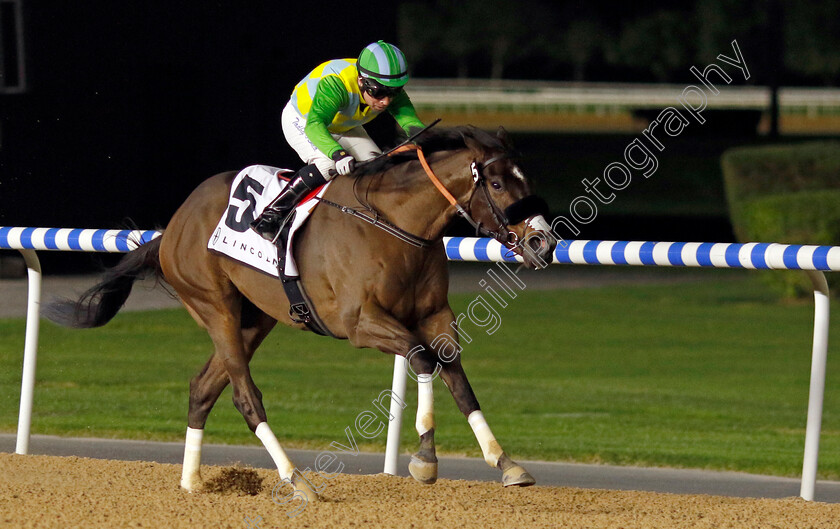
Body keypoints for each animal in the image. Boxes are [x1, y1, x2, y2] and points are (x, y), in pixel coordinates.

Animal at [46, 126, 556, 502]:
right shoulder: (359, 323)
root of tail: (171, 228)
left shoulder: (435, 313)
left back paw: (191, 483)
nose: (543, 242)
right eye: (496, 183)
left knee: (202, 388)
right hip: (215, 307)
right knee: (245, 397)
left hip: (256, 318)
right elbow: (422, 358)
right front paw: (425, 460)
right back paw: (298, 481)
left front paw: (506, 462)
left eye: (528, 181)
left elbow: (454, 373)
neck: (395, 224)